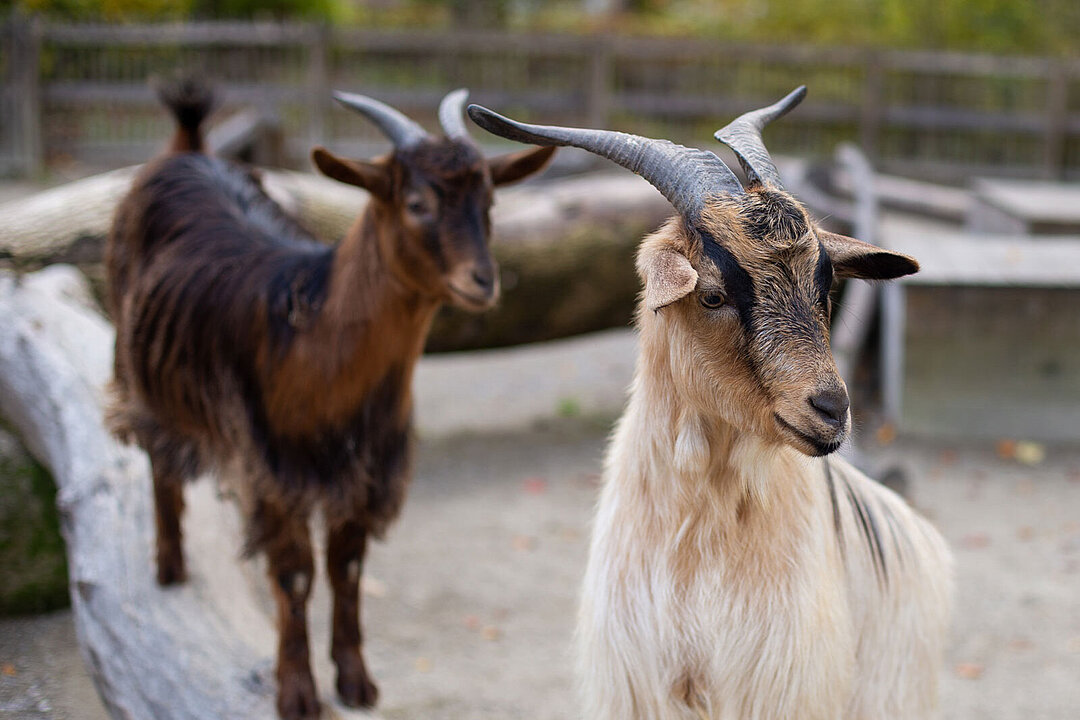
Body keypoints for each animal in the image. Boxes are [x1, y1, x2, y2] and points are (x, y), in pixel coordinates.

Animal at [107, 80, 557, 720]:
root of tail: (186, 150)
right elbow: (295, 576)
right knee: (157, 454)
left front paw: (356, 681)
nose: (483, 281)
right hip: (134, 362)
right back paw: (168, 565)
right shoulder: (276, 469)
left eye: (490, 204)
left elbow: (347, 569)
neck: (315, 342)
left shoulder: (365, 471)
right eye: (416, 203)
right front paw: (297, 692)